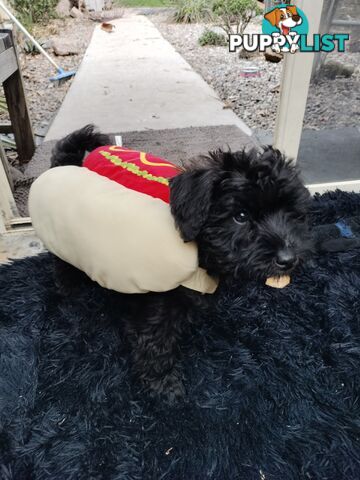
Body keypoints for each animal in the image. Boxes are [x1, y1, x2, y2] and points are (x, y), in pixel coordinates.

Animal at [50, 124, 312, 402]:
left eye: (291, 214)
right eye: (240, 216)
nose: (288, 259)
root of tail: (65, 164)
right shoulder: (158, 303)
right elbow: (156, 343)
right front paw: (164, 385)